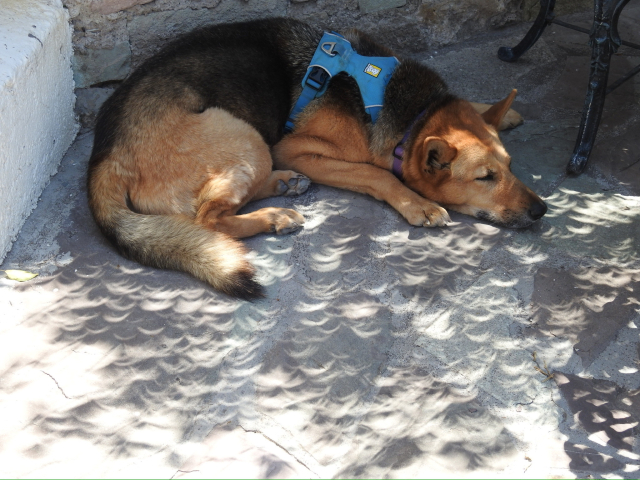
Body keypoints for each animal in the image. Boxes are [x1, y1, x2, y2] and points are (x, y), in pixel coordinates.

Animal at [87, 16, 548, 298]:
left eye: (510, 167)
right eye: (484, 177)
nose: (542, 210)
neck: (408, 112)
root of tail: (105, 153)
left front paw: (503, 112)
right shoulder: (297, 149)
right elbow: (378, 175)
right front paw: (417, 203)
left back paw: (283, 184)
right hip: (247, 137)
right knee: (208, 219)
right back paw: (274, 216)